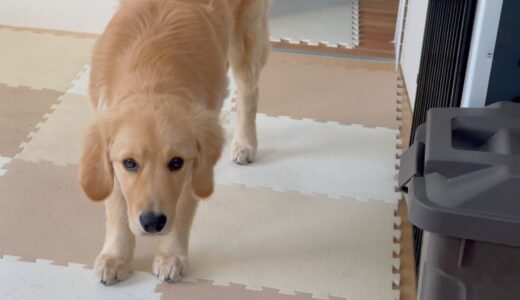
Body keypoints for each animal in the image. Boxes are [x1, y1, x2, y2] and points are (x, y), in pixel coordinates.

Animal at [79, 0, 270, 284]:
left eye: (176, 162)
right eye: (129, 163)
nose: (152, 223)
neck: (152, 75)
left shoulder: (196, 169)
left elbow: (181, 213)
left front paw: (171, 257)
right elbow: (117, 210)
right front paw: (116, 257)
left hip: (246, 37)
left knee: (249, 91)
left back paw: (245, 143)